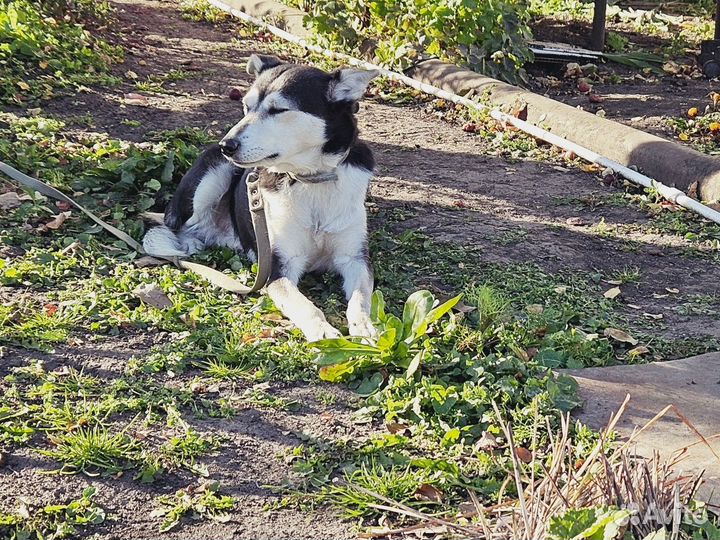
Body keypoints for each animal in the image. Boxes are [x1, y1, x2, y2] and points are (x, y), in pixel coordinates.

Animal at [143, 54, 380, 342]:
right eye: (246, 107)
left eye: (278, 110)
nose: (227, 145)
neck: (310, 179)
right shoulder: (278, 267)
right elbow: (306, 307)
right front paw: (324, 334)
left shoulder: (355, 258)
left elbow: (360, 299)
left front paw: (365, 327)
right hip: (213, 175)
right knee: (181, 225)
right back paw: (192, 243)